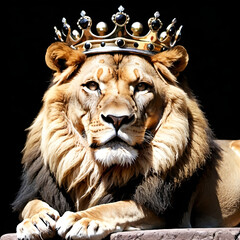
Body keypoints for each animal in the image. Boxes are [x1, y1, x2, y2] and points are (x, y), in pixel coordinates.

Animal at [12, 41, 240, 240]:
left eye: (141, 87)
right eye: (92, 86)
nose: (117, 119)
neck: (96, 170)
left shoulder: (171, 214)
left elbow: (119, 206)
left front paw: (82, 219)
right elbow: (31, 204)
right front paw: (35, 221)